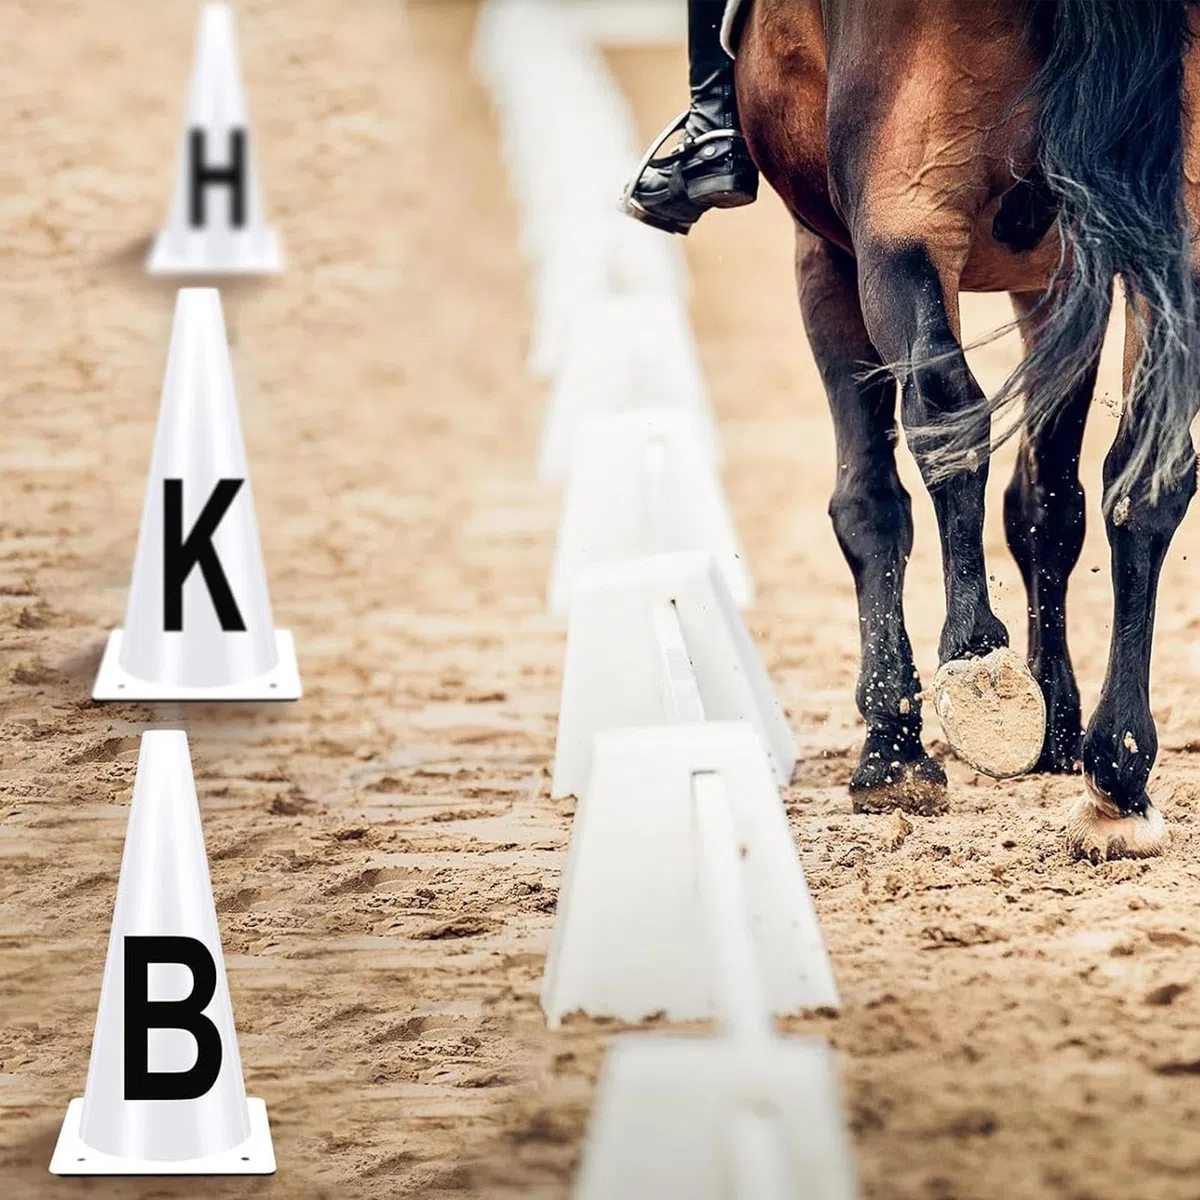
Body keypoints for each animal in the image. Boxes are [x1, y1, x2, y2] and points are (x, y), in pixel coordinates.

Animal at [729, 0, 1200, 861]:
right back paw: (1116, 776)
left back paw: (978, 669)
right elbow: (1049, 505)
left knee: (943, 411)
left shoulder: (827, 248)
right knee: (1148, 473)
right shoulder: (1060, 276)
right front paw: (1057, 728)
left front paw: (891, 747)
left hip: (901, 210)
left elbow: (870, 502)